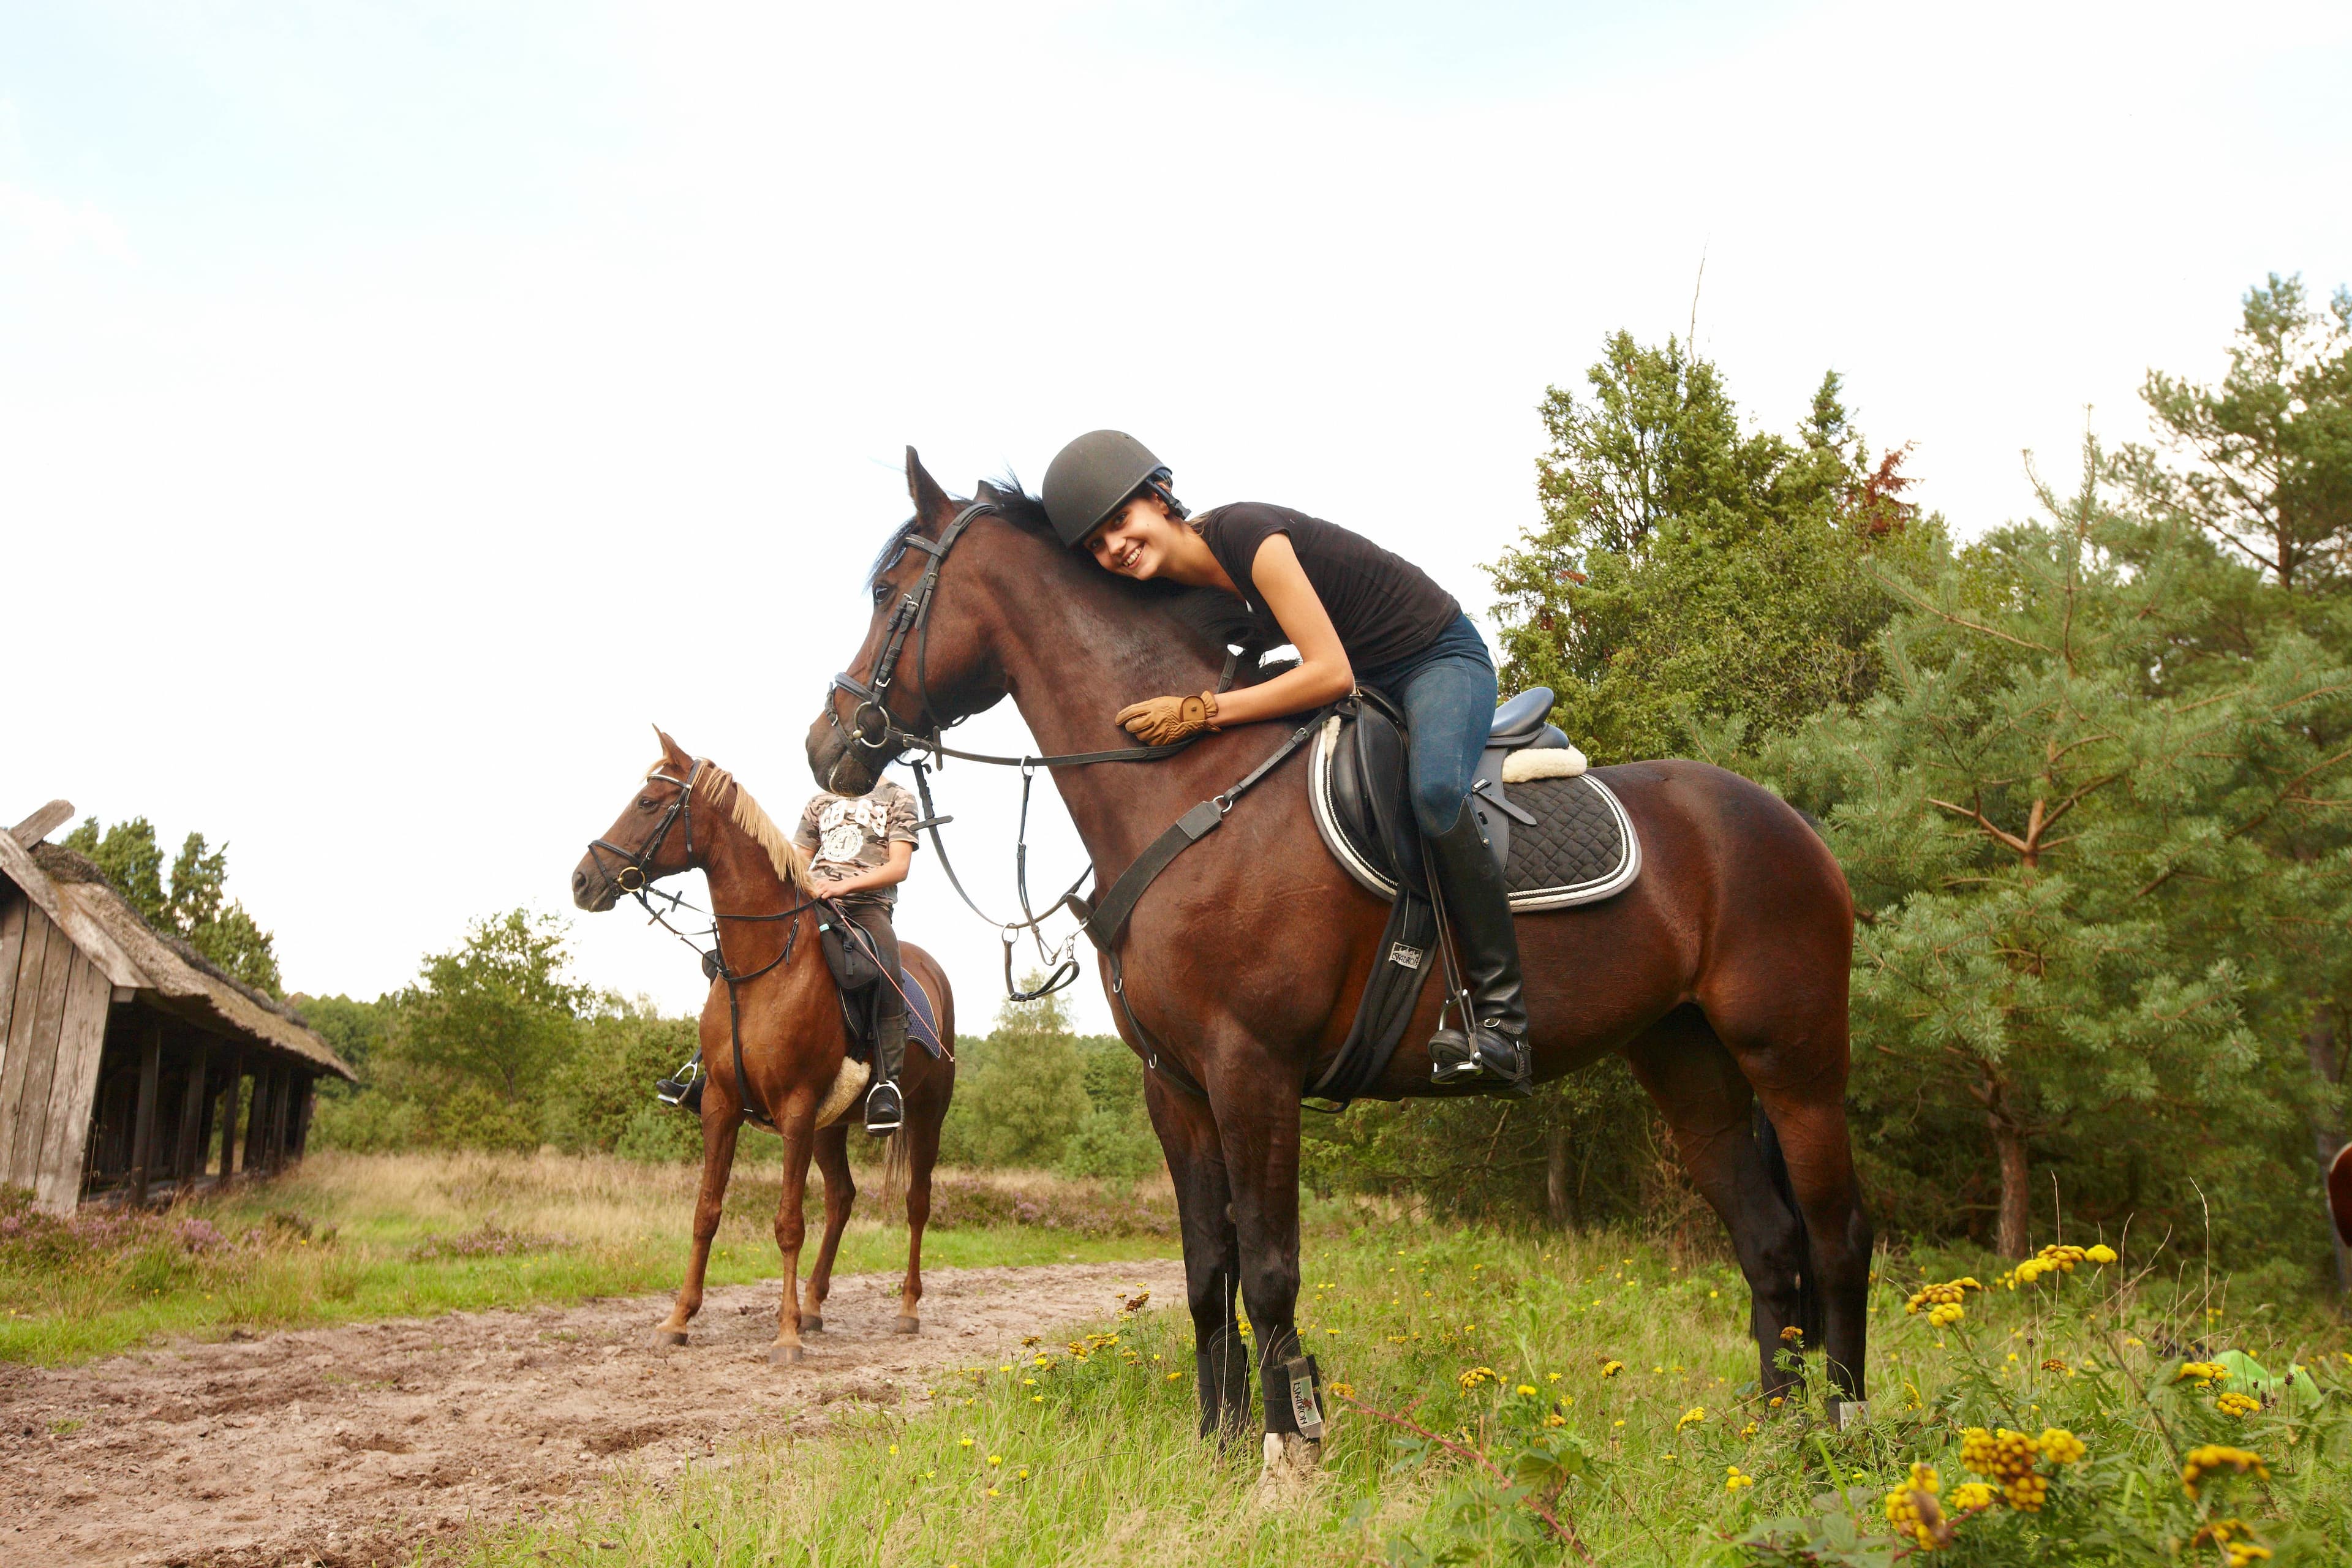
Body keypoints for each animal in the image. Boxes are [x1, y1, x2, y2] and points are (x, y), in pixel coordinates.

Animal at [569, 733, 955, 1363]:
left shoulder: (795, 1107)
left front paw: (786, 1334)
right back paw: (816, 1303)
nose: (582, 881)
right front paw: (678, 1318)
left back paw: (905, 1309)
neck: (763, 968)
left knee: (917, 1203)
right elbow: (706, 1212)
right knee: (842, 1198)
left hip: (926, 1113)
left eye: (649, 803)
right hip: (830, 1125)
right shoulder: (722, 1104)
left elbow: (787, 1222)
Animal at [809, 451, 1872, 1476]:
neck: (1186, 790)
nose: (827, 744)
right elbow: (1208, 1273)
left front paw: (1291, 1446)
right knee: (1769, 1242)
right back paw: (1774, 1442)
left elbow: (1270, 1268)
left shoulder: (1255, 1070)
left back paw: (1843, 1437)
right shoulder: (1176, 1087)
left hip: (1796, 1060)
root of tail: (1789, 823)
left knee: (1838, 1234)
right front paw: (1219, 1442)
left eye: (890, 590)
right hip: (1688, 1061)